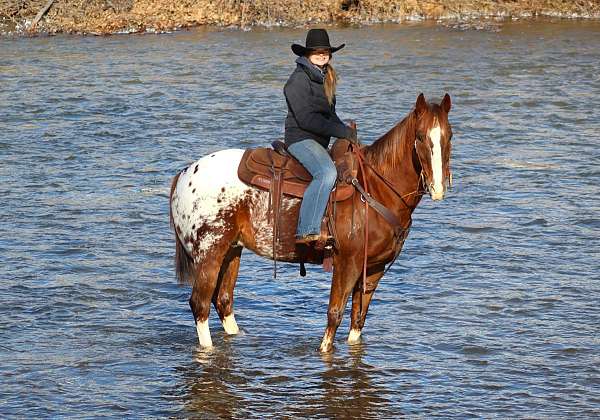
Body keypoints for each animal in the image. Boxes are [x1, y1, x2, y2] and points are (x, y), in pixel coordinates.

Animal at [168, 93, 450, 352]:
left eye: (449, 136)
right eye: (421, 136)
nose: (437, 188)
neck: (375, 190)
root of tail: (184, 173)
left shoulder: (374, 269)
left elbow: (357, 322)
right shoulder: (347, 263)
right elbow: (334, 316)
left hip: (231, 251)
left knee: (223, 301)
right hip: (209, 253)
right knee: (200, 305)